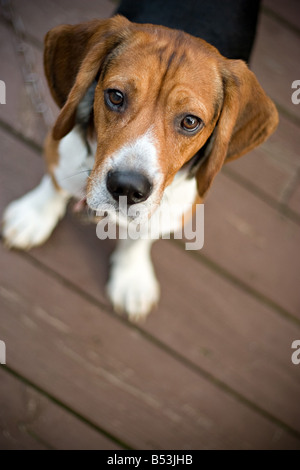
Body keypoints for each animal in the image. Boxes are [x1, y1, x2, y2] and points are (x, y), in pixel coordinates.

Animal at [1, 15, 278, 324]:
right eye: (116, 96)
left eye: (190, 121)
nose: (127, 187)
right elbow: (57, 183)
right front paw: (35, 215)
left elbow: (141, 237)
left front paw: (131, 278)